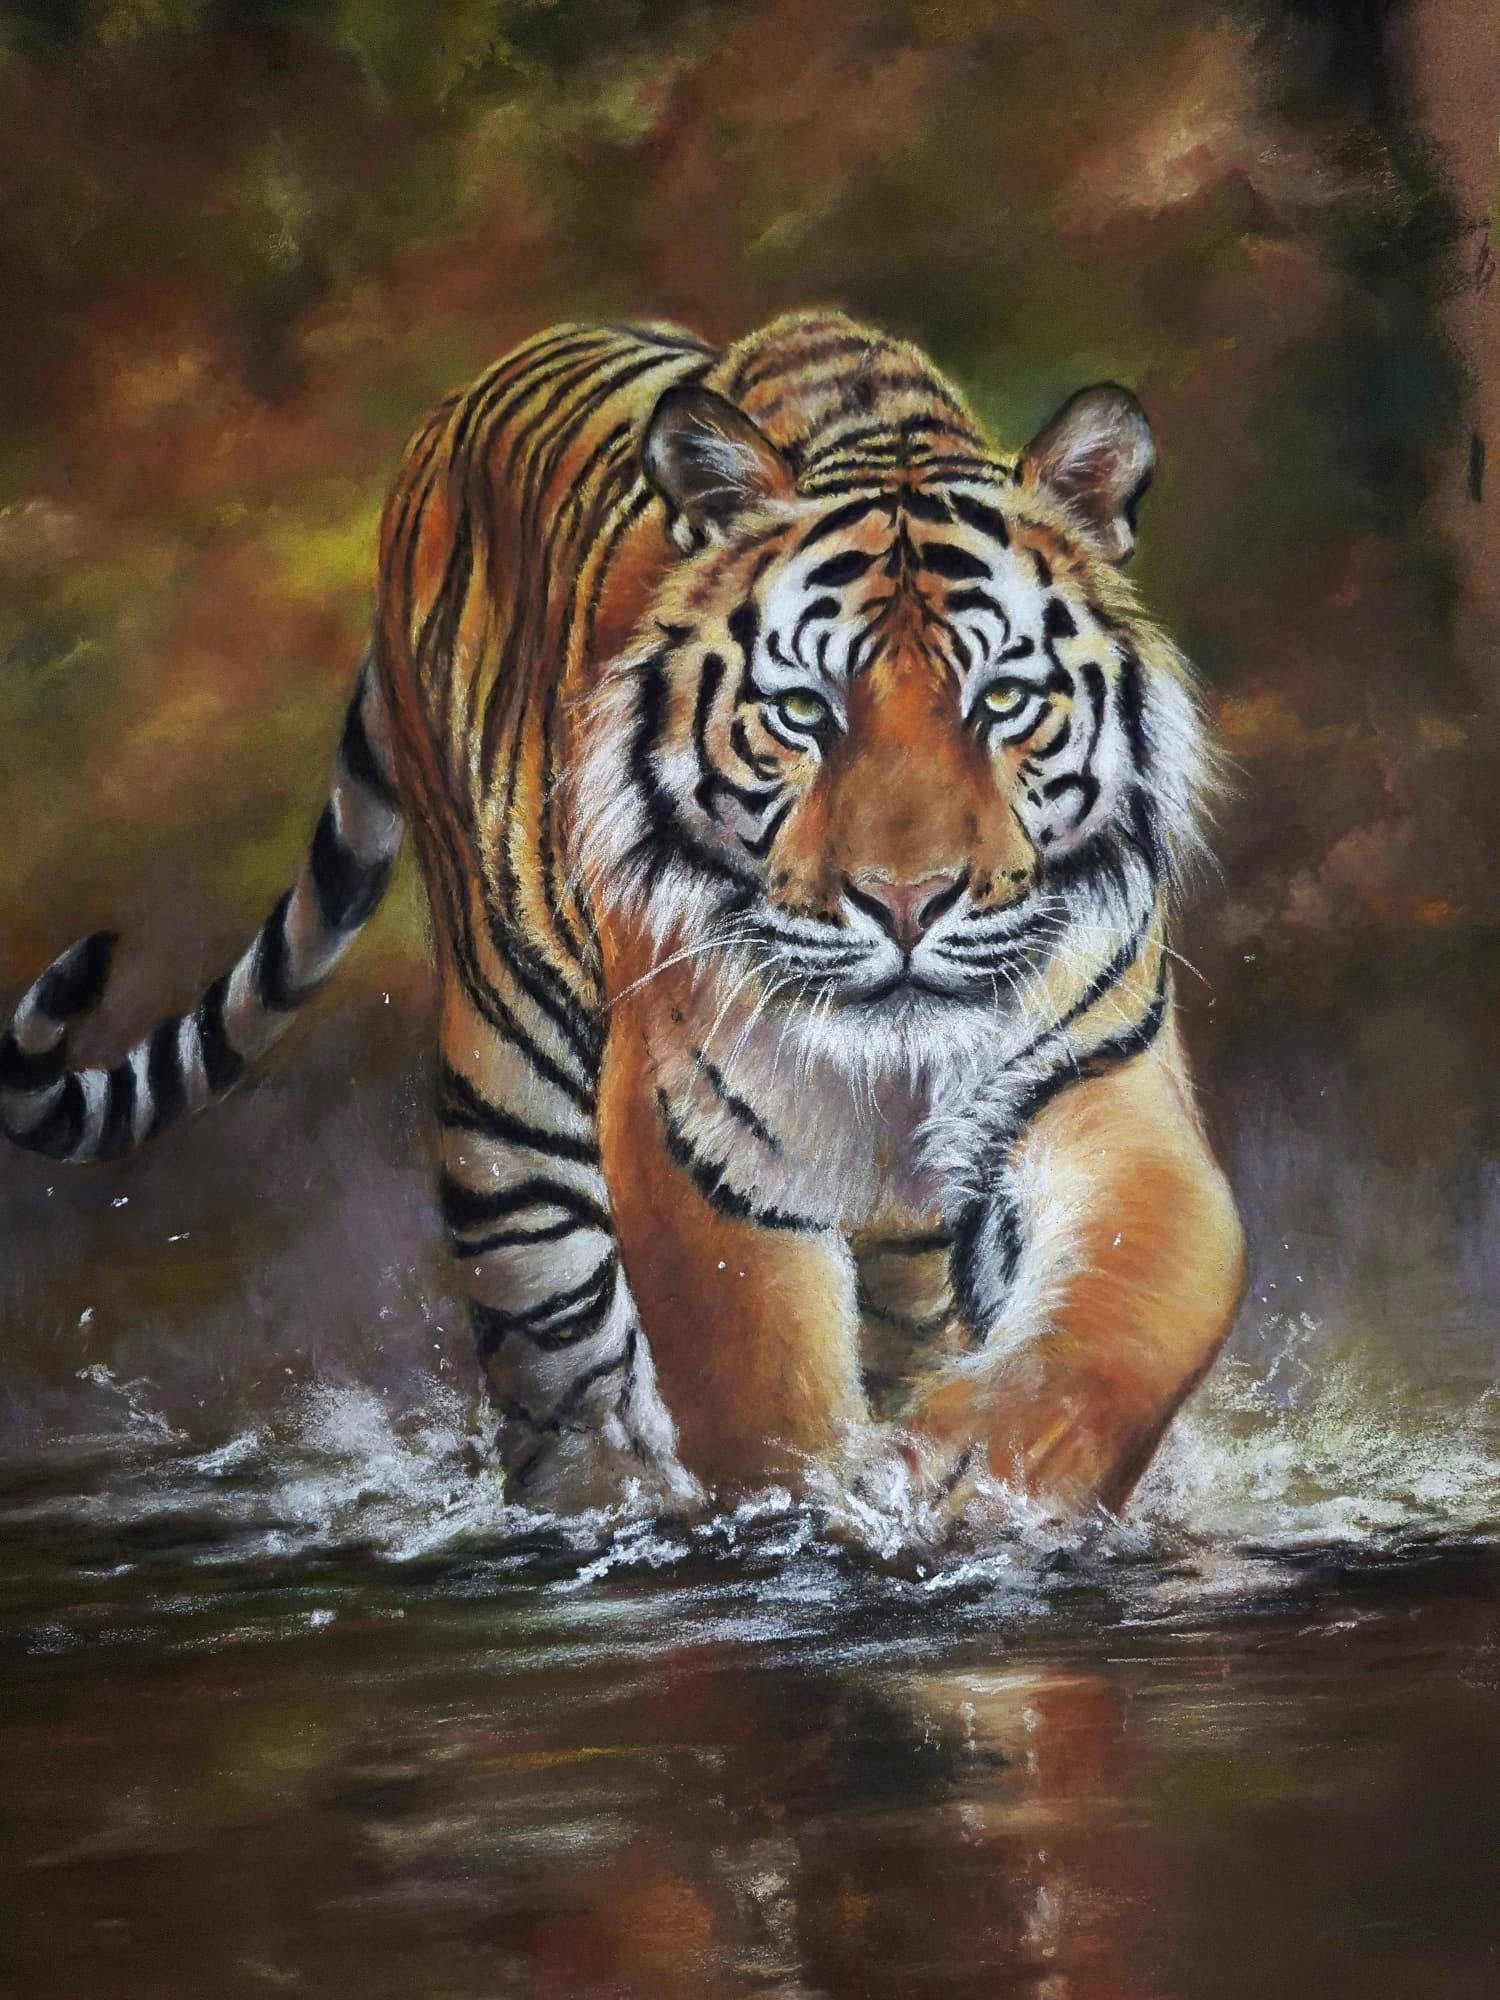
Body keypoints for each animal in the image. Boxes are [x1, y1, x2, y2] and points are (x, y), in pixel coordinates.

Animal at [1, 311, 1245, 1520]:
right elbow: (759, 1391)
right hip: (509, 1105)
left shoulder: (1100, 1071)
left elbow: (1129, 1311)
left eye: (1006, 700)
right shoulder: (696, 1127)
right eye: (803, 711)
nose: (906, 902)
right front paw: (811, 1518)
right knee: (554, 1377)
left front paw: (978, 1477)